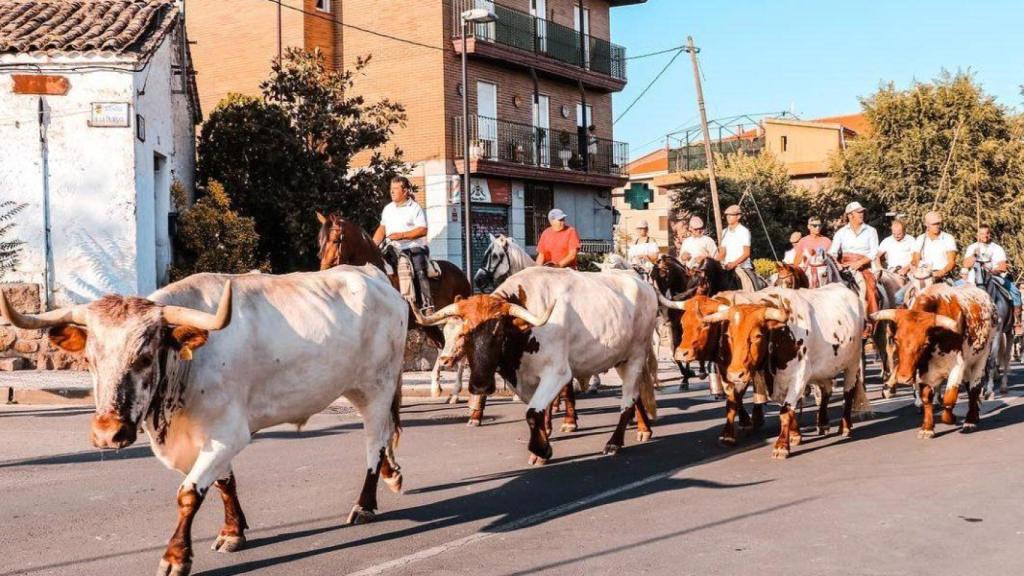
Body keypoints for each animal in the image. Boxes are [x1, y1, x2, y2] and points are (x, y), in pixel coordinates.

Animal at [317, 211, 473, 399]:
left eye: (335, 240)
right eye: (320, 242)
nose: (323, 269)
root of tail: (462, 274)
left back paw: (456, 391)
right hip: (428, 324)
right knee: (442, 345)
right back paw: (437, 386)